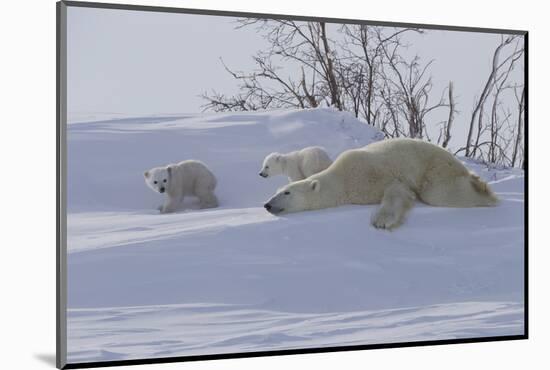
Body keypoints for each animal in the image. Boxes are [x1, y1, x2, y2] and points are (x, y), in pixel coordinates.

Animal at [264, 139, 500, 230]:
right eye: (277, 191)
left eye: (286, 193)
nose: (267, 205)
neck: (344, 179)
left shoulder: (378, 172)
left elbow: (397, 192)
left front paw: (382, 221)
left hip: (435, 168)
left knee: (441, 193)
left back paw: (485, 192)